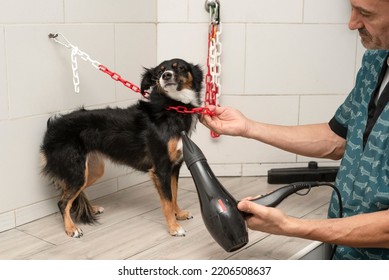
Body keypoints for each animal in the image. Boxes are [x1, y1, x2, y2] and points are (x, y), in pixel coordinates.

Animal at [39, 58, 203, 237]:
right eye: (159, 72)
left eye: (179, 67)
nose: (166, 76)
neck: (172, 107)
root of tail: (51, 128)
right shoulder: (161, 169)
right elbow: (167, 201)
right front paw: (174, 227)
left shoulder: (175, 167)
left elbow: (174, 195)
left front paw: (179, 214)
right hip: (77, 171)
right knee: (63, 202)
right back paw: (71, 228)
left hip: (92, 170)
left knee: (69, 195)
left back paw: (91, 209)